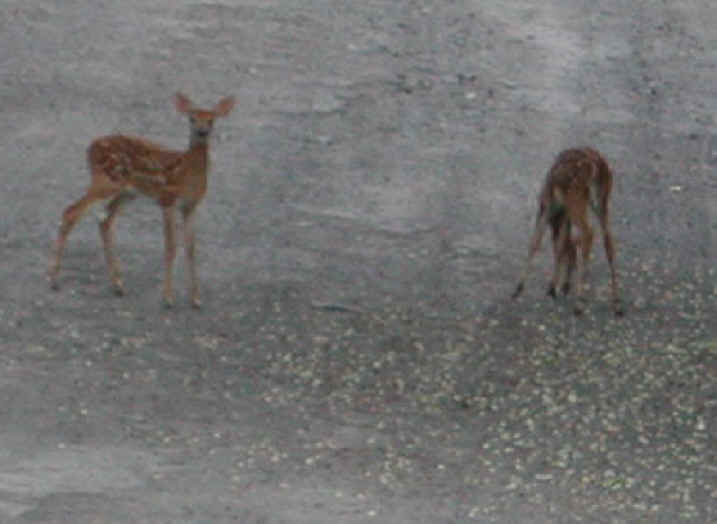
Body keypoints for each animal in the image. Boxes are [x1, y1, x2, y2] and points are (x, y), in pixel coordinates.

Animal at [48, 92, 236, 308]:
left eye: (212, 120)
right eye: (191, 118)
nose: (202, 132)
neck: (189, 173)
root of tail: (90, 147)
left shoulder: (190, 206)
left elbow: (191, 248)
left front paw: (196, 299)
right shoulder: (167, 199)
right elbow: (171, 246)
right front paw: (168, 298)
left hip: (127, 192)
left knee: (105, 220)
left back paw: (118, 285)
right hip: (106, 181)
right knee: (71, 211)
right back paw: (54, 279)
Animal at [512, 147, 624, 316]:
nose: (566, 286)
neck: (557, 217)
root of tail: (596, 167)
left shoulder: (547, 208)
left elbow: (536, 242)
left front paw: (519, 288)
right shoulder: (563, 216)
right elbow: (561, 244)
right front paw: (554, 286)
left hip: (575, 198)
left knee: (588, 233)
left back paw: (579, 303)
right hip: (601, 199)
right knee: (608, 240)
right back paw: (616, 303)